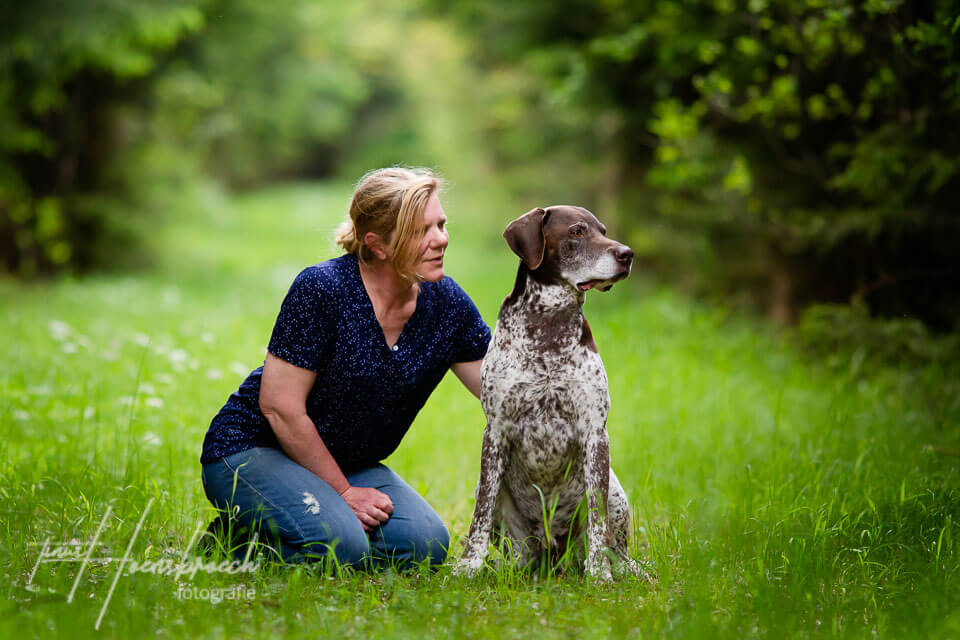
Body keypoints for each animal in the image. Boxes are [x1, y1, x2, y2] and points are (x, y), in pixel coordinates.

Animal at [456, 208, 652, 584]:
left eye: (603, 230)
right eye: (577, 231)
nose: (628, 254)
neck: (548, 326)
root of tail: (553, 556)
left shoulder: (595, 433)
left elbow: (597, 521)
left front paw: (599, 574)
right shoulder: (496, 432)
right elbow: (480, 515)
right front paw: (467, 565)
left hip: (616, 491)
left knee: (615, 545)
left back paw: (626, 568)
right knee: (514, 547)